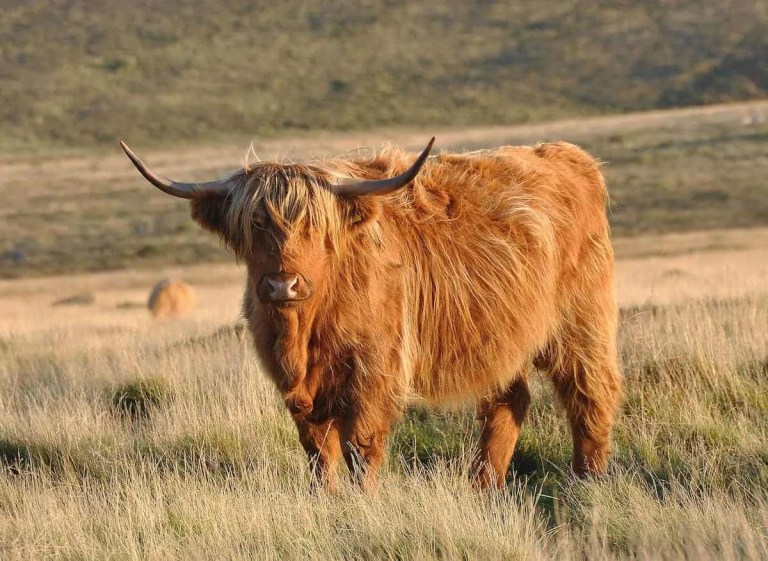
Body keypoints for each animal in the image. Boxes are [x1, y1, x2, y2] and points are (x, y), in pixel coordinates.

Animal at [120, 137, 622, 490]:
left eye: (314, 225)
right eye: (257, 222)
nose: (283, 284)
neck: (304, 333)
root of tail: (570, 157)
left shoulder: (374, 370)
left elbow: (360, 447)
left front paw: (363, 503)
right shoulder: (297, 387)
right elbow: (318, 451)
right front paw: (324, 501)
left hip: (581, 323)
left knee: (591, 394)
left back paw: (587, 483)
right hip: (499, 334)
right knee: (507, 402)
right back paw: (483, 486)